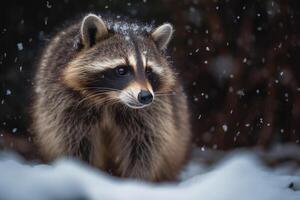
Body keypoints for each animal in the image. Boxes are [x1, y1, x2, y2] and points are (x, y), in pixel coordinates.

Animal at [31, 12, 191, 181]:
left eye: (148, 71)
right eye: (121, 70)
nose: (146, 96)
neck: (111, 99)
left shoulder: (153, 113)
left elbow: (146, 147)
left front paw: (137, 180)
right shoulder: (65, 103)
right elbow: (72, 142)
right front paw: (81, 172)